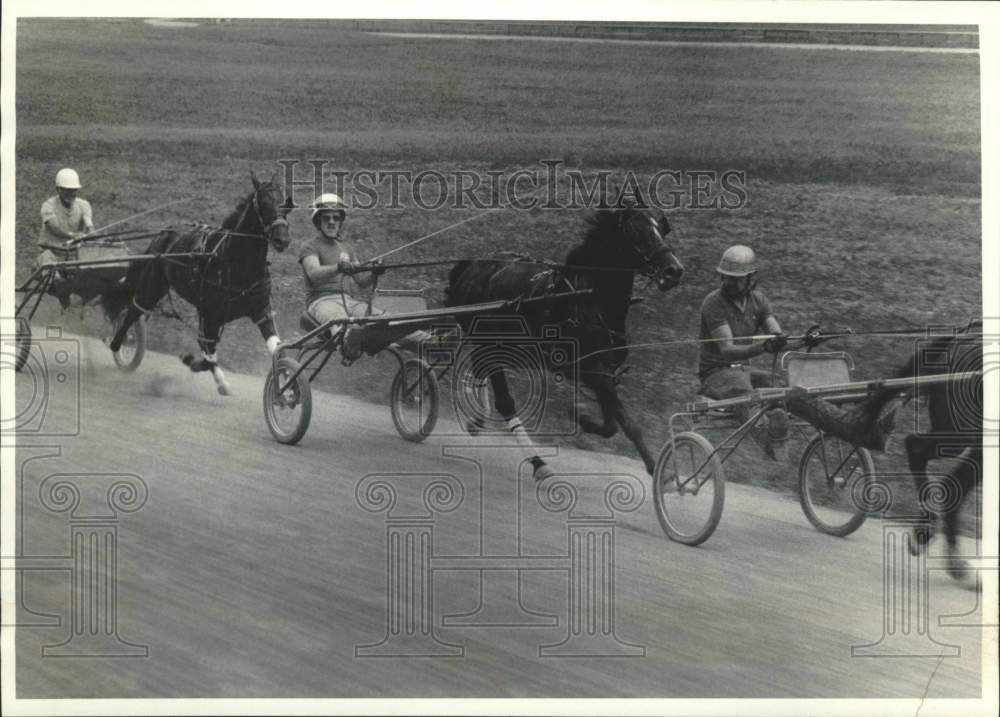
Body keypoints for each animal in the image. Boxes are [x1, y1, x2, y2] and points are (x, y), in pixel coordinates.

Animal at [107, 174, 292, 398]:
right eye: (263, 203)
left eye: (286, 204)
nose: (282, 239)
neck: (236, 263)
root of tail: (164, 233)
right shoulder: (210, 315)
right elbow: (207, 353)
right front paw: (207, 372)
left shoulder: (261, 311)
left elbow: (277, 349)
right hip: (152, 287)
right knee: (134, 310)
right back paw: (118, 343)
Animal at [444, 200, 680, 482]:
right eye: (636, 229)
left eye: (661, 226)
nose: (674, 270)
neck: (587, 297)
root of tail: (473, 266)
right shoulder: (591, 369)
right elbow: (627, 423)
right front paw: (659, 472)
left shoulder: (604, 371)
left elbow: (612, 422)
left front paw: (582, 416)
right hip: (487, 343)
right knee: (505, 402)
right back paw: (539, 463)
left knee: (480, 373)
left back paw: (477, 420)